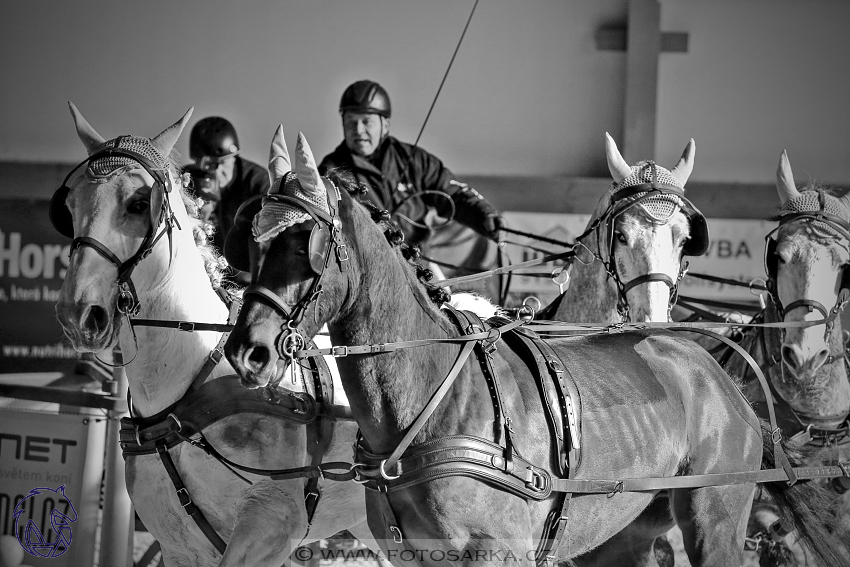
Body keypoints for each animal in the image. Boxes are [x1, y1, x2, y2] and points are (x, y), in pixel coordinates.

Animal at [220, 129, 840, 567]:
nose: (247, 350)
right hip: (621, 539)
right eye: (254, 242)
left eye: (308, 245)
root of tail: (717, 372)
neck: (431, 396)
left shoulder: (496, 554)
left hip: (714, 522)